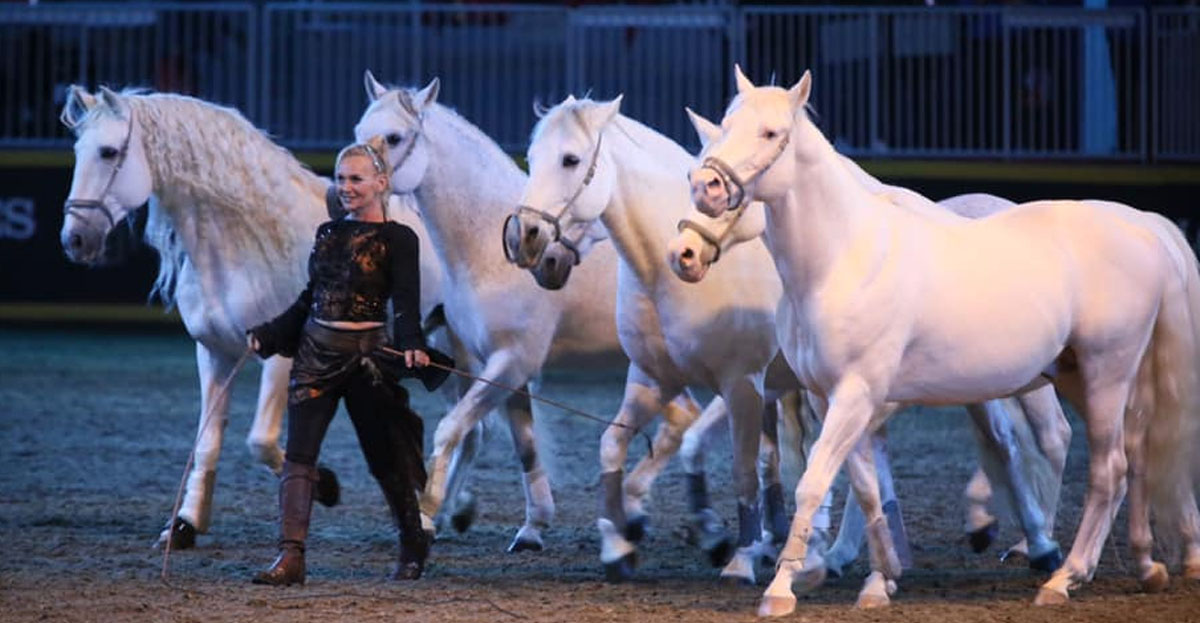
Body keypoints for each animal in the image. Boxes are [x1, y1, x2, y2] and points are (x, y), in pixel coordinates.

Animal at [57, 87, 451, 552]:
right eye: (77, 150)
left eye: (108, 151)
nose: (75, 239)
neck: (244, 244)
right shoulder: (214, 354)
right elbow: (208, 440)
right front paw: (185, 525)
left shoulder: (282, 358)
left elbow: (261, 441)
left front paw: (326, 485)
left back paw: (430, 517)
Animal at [352, 70, 628, 554]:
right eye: (357, 132)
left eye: (394, 137)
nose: (342, 190)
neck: (488, 250)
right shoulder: (501, 366)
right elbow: (524, 444)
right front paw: (532, 528)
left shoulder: (513, 360)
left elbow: (451, 429)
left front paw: (427, 516)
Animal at [686, 66, 1200, 614]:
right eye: (724, 126)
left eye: (771, 133)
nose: (705, 189)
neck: (843, 258)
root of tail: (1143, 228)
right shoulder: (830, 399)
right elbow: (865, 488)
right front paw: (880, 577)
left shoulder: (857, 394)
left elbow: (814, 483)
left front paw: (781, 589)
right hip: (1085, 376)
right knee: (1136, 458)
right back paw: (1144, 567)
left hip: (1107, 373)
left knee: (1109, 469)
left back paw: (1064, 577)